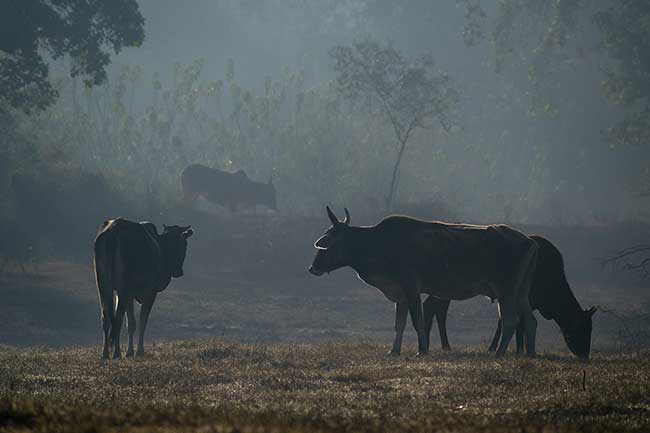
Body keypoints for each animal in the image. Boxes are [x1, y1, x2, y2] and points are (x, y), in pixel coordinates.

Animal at [92, 219, 192, 358]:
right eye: (184, 244)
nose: (178, 271)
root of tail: (114, 228)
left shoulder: (123, 293)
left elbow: (131, 323)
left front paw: (130, 351)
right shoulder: (149, 292)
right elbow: (142, 321)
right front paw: (139, 350)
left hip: (103, 285)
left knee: (106, 316)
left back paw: (105, 353)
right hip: (124, 287)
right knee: (118, 318)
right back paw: (116, 353)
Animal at [308, 206, 536, 354]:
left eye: (327, 244)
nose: (312, 268)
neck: (379, 244)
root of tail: (528, 240)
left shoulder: (411, 287)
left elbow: (417, 320)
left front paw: (422, 350)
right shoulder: (400, 294)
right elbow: (399, 324)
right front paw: (394, 351)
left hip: (506, 291)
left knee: (510, 321)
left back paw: (499, 352)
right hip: (521, 293)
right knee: (530, 320)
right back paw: (530, 353)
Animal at [422, 235, 596, 360]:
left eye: (590, 329)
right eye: (582, 329)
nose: (585, 355)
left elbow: (510, 322)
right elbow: (518, 325)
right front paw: (518, 350)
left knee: (435, 308)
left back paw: (442, 345)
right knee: (432, 307)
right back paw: (441, 345)